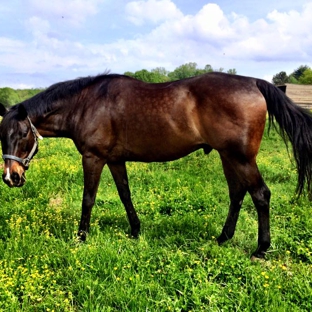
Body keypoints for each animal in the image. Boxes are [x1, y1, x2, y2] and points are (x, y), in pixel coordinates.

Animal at [0, 72, 312, 258]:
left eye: (23, 133)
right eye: (2, 136)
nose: (10, 177)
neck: (86, 104)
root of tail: (253, 82)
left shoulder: (93, 157)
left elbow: (88, 198)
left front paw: (81, 236)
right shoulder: (115, 160)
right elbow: (125, 194)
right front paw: (135, 230)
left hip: (242, 158)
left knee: (260, 195)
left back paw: (261, 248)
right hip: (228, 157)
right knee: (237, 194)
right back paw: (223, 237)